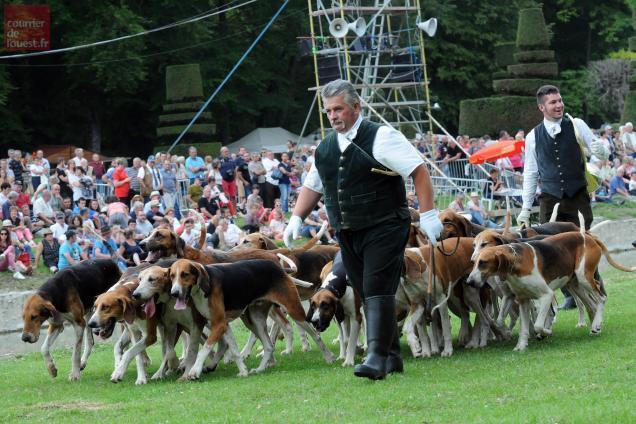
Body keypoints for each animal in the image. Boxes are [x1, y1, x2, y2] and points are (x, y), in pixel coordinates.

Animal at [169, 258, 338, 380]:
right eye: (171, 276)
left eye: (184, 274)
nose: (174, 293)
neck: (203, 287)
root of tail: (278, 267)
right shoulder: (222, 325)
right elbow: (234, 350)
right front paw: (243, 371)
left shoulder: (219, 324)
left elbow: (205, 349)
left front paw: (194, 371)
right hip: (255, 319)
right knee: (269, 346)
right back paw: (261, 368)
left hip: (294, 311)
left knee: (315, 335)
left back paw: (329, 357)